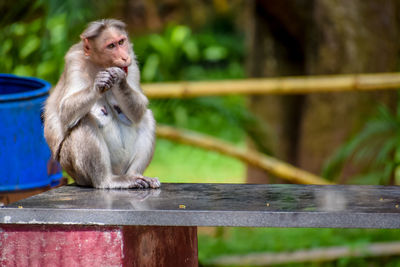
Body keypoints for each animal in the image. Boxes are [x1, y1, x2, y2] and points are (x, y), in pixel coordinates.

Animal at [44, 18, 161, 189]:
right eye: (111, 46)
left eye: (121, 42)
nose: (124, 57)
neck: (100, 64)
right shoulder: (74, 61)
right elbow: (66, 110)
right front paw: (98, 84)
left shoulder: (132, 60)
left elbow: (139, 110)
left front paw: (119, 79)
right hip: (74, 168)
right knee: (84, 120)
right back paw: (106, 181)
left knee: (147, 117)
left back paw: (135, 175)